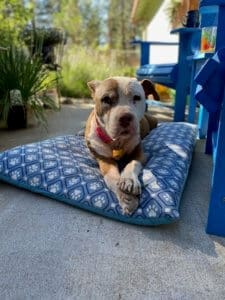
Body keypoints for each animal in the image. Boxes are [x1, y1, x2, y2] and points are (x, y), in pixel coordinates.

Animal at [85, 76, 159, 214]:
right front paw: (127, 198)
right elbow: (112, 177)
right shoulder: (104, 159)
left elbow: (132, 163)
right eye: (106, 99)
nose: (125, 117)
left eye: (137, 97)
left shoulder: (139, 154)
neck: (117, 141)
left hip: (153, 121)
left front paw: (129, 180)